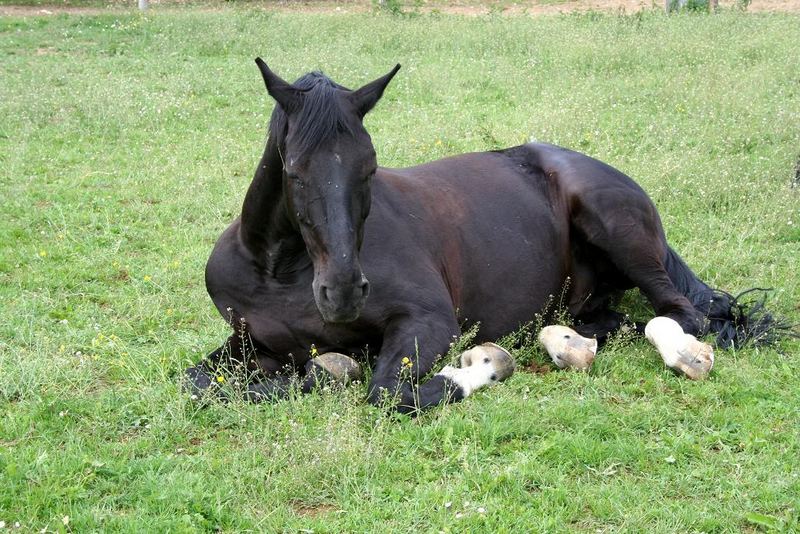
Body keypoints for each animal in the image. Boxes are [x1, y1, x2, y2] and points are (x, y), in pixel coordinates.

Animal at [186, 59, 780, 414]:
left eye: (370, 166)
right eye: (293, 169)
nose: (344, 293)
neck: (280, 272)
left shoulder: (427, 321)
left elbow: (385, 391)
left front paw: (475, 370)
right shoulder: (250, 343)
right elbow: (198, 382)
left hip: (619, 233)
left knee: (681, 314)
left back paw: (681, 353)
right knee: (612, 324)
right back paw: (568, 343)